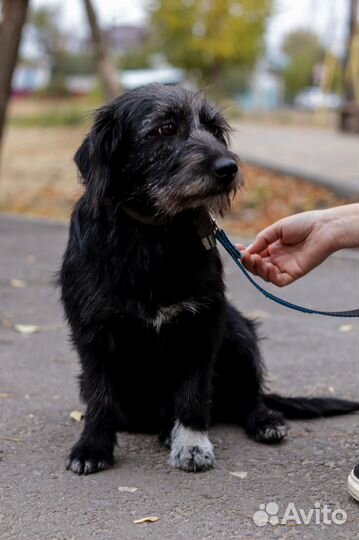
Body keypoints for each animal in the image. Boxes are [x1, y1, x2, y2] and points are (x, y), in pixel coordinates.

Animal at [60, 82, 358, 474]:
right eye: (166, 128)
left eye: (215, 130)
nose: (229, 168)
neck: (153, 236)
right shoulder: (92, 331)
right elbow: (100, 395)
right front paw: (93, 445)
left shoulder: (203, 324)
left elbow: (194, 393)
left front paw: (191, 443)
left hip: (239, 331)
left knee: (250, 397)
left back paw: (262, 420)